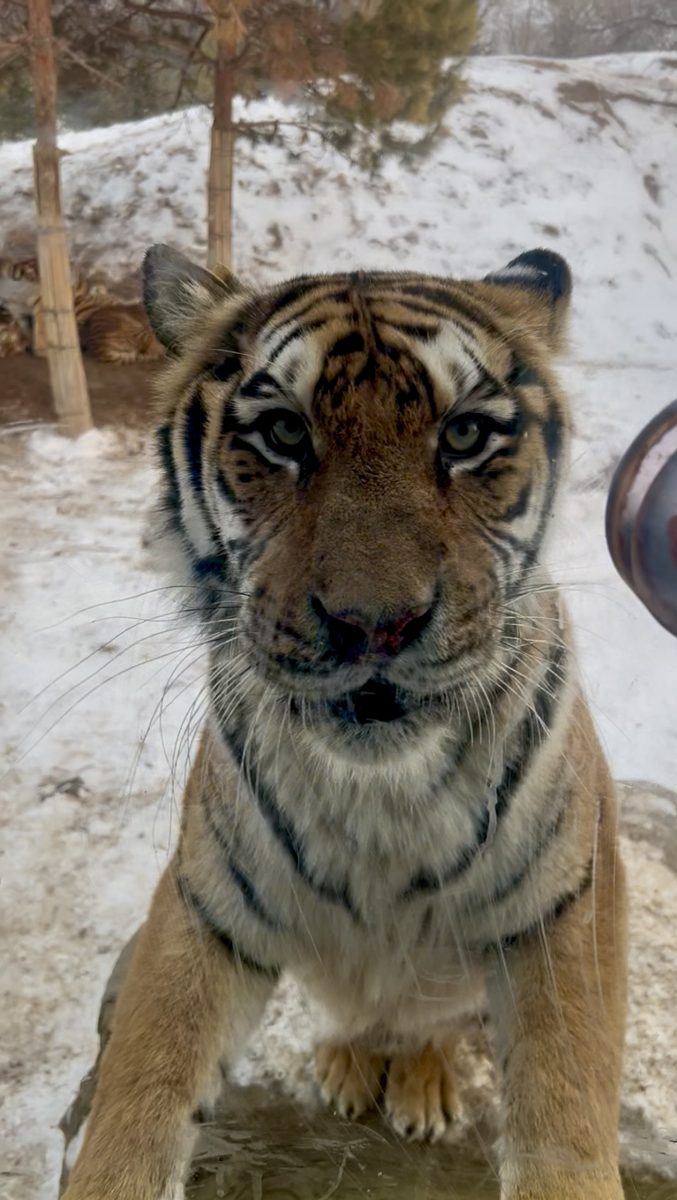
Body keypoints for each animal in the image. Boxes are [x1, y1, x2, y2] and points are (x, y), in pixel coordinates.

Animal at [63, 244, 627, 1200]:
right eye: (283, 434)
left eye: (465, 437)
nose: (376, 625)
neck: (383, 792)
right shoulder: (207, 902)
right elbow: (142, 1077)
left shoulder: (563, 907)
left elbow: (566, 1102)